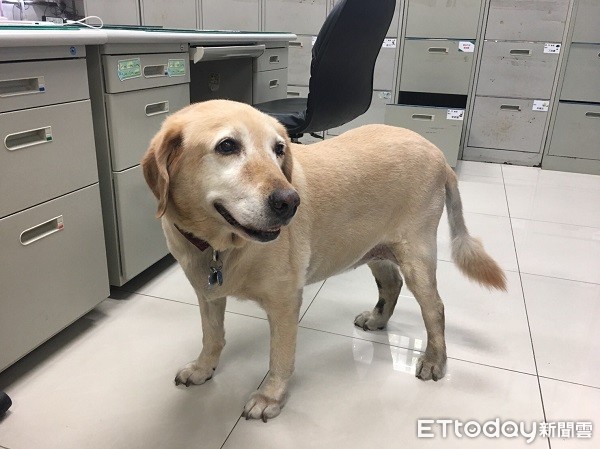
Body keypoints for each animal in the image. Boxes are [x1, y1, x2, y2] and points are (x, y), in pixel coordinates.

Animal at [142, 98, 506, 420]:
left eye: (279, 149)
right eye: (227, 145)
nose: (290, 202)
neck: (218, 247)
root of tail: (439, 154)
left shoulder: (285, 302)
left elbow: (280, 356)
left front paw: (270, 397)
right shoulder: (207, 295)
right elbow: (212, 337)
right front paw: (203, 368)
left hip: (416, 255)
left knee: (436, 310)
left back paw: (434, 360)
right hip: (374, 247)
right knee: (392, 284)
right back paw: (378, 319)